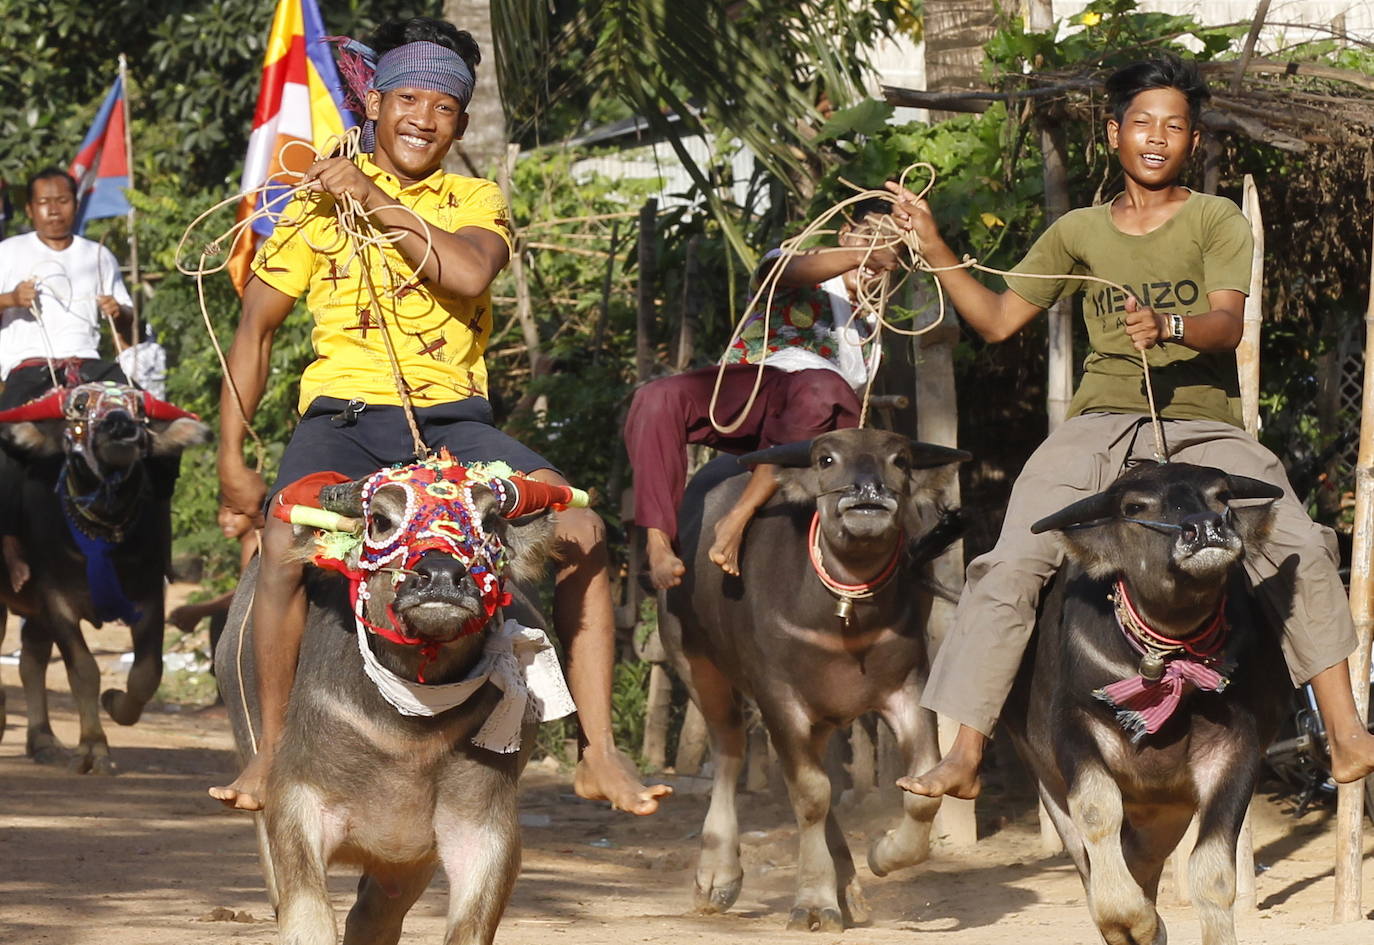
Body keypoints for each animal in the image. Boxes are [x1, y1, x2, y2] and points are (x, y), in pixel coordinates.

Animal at [0, 379, 206, 769]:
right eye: (80, 406)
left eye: (138, 407)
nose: (119, 426)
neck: (104, 528)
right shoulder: (55, 601)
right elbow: (84, 671)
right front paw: (93, 746)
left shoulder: (149, 596)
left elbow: (147, 673)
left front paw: (114, 703)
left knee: (32, 658)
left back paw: (43, 739)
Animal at [215, 453, 579, 939]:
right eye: (382, 520)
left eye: (488, 521)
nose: (441, 575)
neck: (408, 728)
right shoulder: (296, 802)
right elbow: (307, 918)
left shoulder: (482, 827)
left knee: (371, 916)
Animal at [659, 428, 972, 928]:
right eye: (827, 459)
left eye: (900, 460)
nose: (868, 493)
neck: (845, 616)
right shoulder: (779, 699)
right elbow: (807, 798)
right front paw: (812, 900)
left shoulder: (907, 686)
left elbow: (922, 787)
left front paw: (883, 853)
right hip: (692, 660)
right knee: (729, 749)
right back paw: (717, 875)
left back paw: (849, 887)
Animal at [1011, 461, 1286, 945]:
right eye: (1135, 507)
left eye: (1221, 495)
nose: (1206, 528)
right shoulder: (1073, 725)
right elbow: (1096, 810)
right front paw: (1129, 916)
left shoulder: (1237, 748)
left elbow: (1214, 873)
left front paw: (1150, 919)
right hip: (1047, 783)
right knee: (1091, 863)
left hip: (1166, 809)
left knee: (1141, 857)